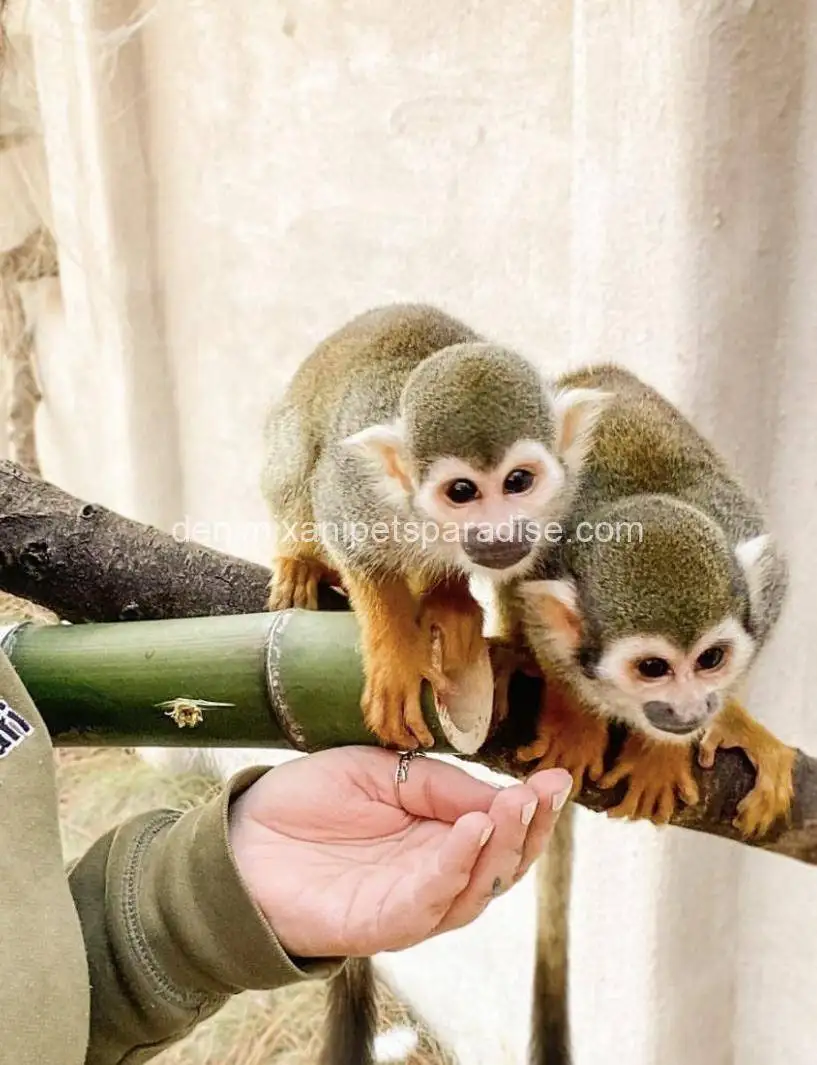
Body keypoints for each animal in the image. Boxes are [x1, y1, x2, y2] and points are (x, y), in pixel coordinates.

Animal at [260, 303, 612, 1065]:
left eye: (518, 482)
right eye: (461, 492)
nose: (496, 531)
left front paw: (450, 602)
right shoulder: (359, 492)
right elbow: (350, 532)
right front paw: (394, 647)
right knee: (293, 466)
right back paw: (302, 556)